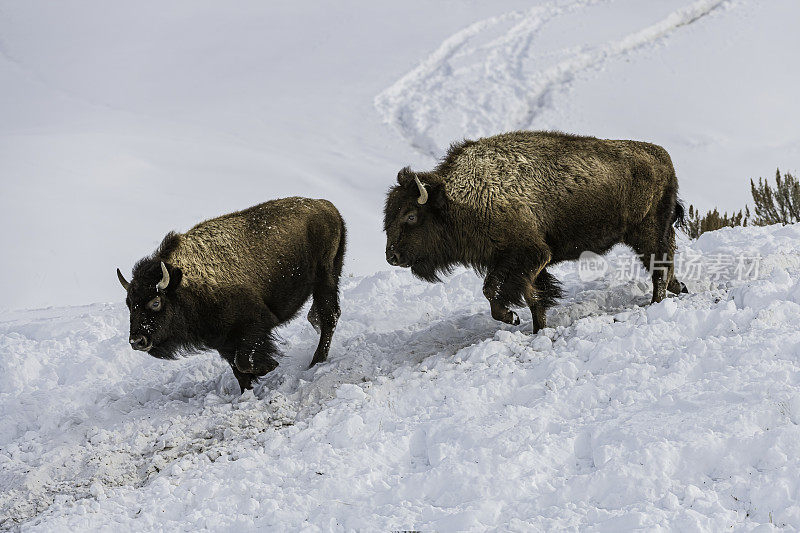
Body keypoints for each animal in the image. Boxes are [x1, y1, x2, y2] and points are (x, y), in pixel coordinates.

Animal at [116, 195, 346, 390]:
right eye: (129, 304)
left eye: (156, 302)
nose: (137, 341)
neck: (185, 284)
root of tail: (326, 206)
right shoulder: (223, 341)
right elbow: (238, 370)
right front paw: (248, 391)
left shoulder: (253, 326)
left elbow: (244, 362)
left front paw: (269, 366)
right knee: (319, 317)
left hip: (325, 278)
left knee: (329, 316)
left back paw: (316, 361)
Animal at [384, 131, 684, 330]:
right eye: (388, 214)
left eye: (411, 216)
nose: (391, 256)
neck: (456, 198)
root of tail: (662, 156)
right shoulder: (521, 263)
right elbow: (533, 296)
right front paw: (537, 328)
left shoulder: (527, 255)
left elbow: (493, 291)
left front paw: (513, 318)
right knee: (666, 261)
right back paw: (678, 287)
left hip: (648, 233)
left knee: (659, 266)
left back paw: (658, 302)